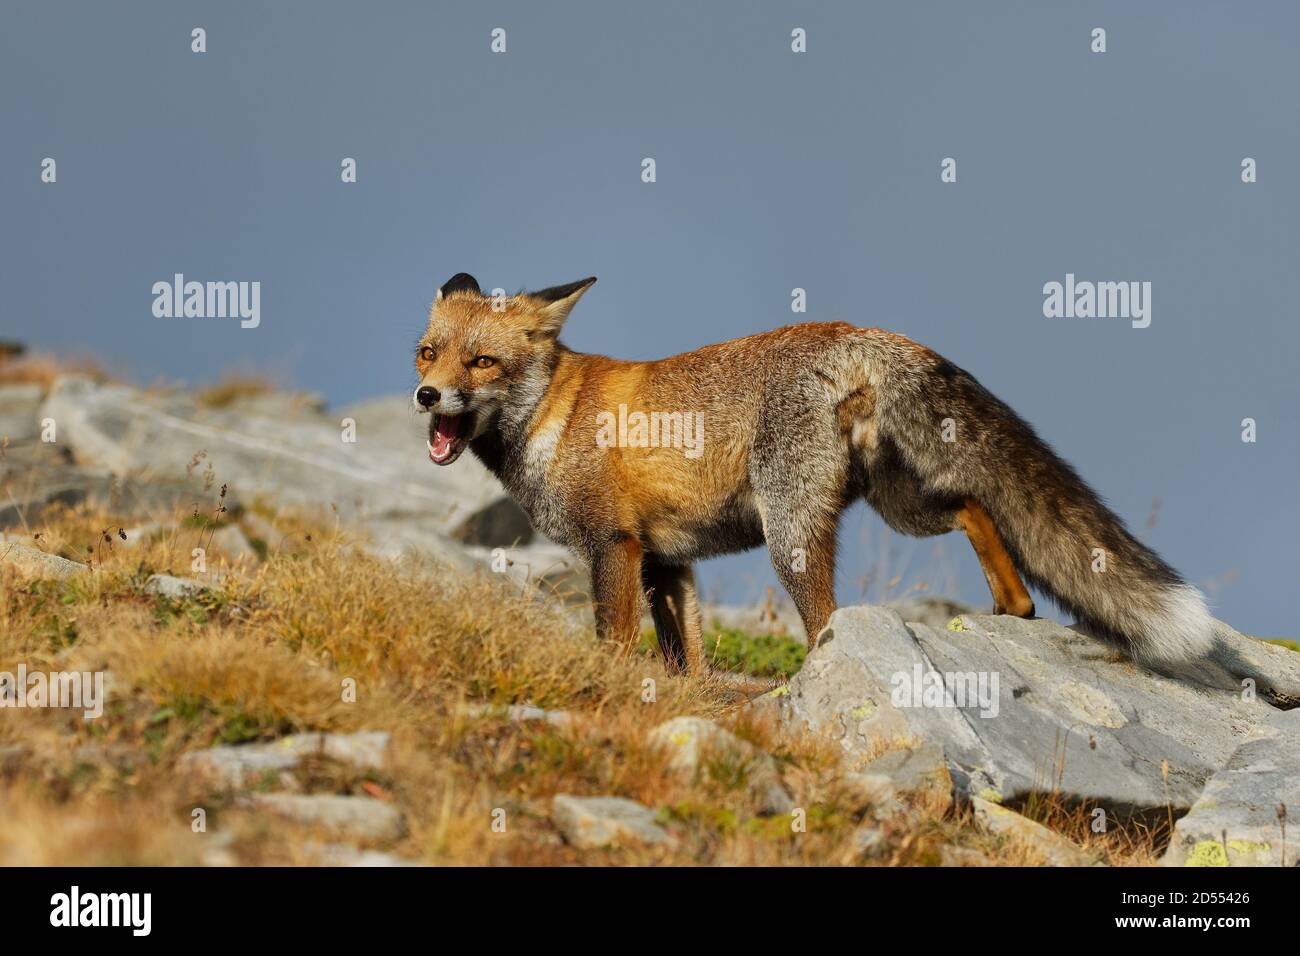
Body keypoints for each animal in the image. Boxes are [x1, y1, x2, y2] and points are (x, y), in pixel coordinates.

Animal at [410, 274, 1211, 671]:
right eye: (429, 351)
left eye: (481, 361)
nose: (425, 396)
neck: (555, 412)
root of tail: (857, 332)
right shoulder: (668, 562)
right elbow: (686, 660)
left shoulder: (614, 546)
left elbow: (615, 641)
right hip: (900, 508)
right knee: (973, 505)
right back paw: (1011, 607)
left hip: (789, 532)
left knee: (830, 620)